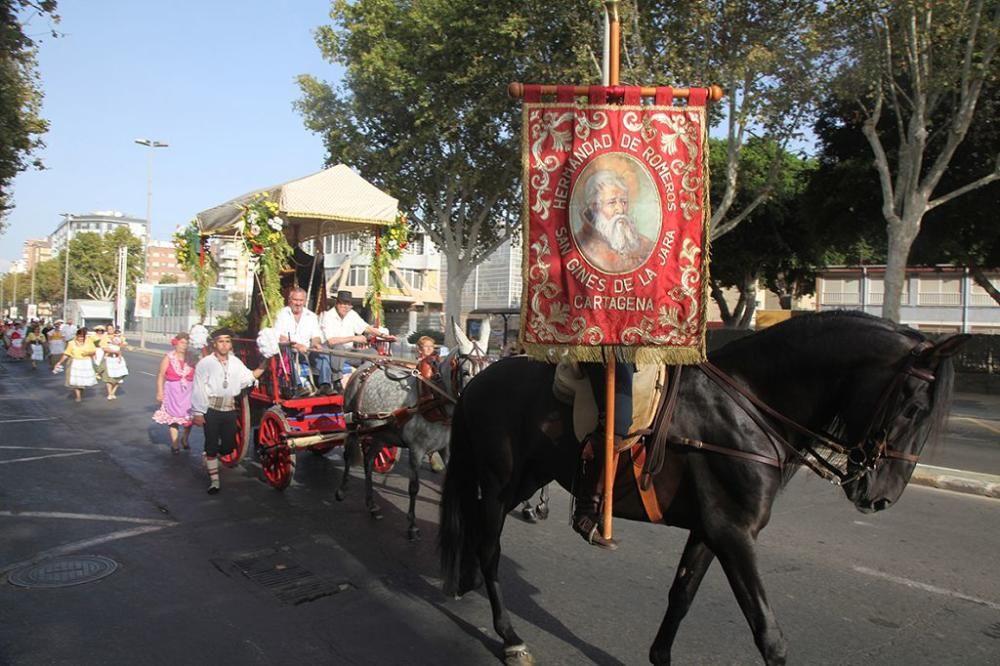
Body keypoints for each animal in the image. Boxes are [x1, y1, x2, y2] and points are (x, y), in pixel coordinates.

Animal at [338, 318, 490, 540]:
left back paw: (372, 505)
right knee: (348, 455)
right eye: (465, 372)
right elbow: (414, 487)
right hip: (352, 424)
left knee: (369, 460)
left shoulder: (446, 448)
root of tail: (364, 366)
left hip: (380, 434)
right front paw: (412, 525)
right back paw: (342, 489)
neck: (435, 400)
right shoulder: (416, 450)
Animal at [438, 312, 968, 664]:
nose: (880, 496)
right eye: (914, 407)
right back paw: (509, 636)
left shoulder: (712, 530)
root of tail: (478, 380)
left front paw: (660, 655)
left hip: (527, 477)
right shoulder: (734, 533)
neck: (746, 408)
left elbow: (682, 595)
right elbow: (767, 633)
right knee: (488, 547)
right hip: (500, 481)